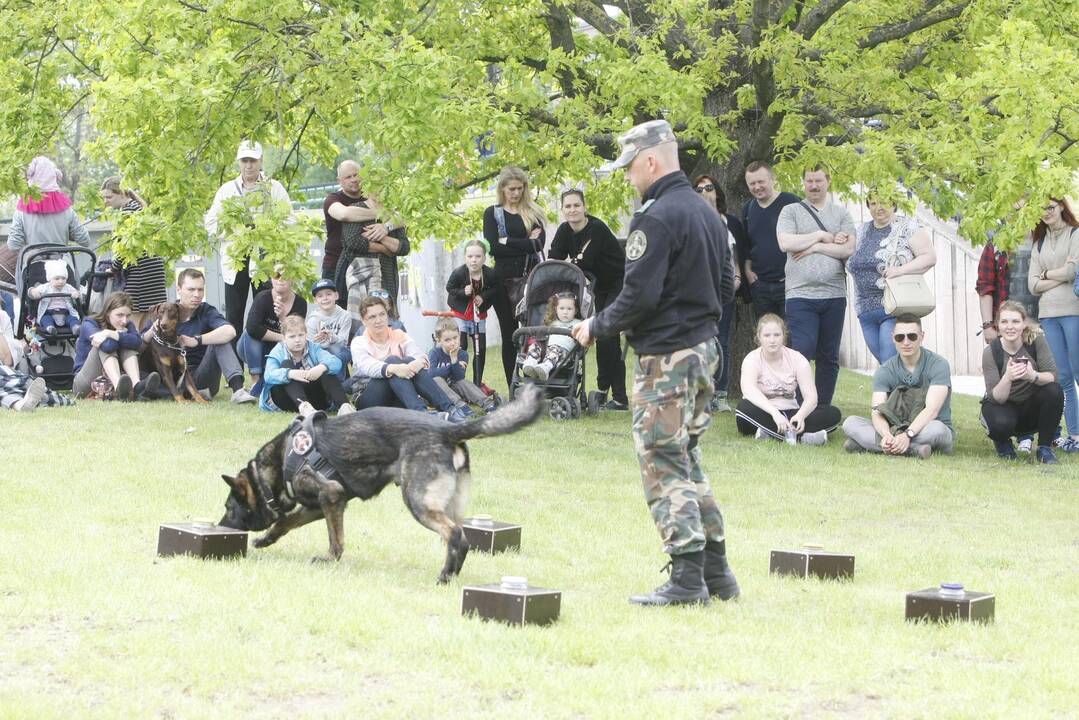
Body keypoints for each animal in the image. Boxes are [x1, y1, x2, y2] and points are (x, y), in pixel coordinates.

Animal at [217, 386, 543, 582]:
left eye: (229, 507)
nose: (219, 528)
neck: (278, 463)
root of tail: (447, 430)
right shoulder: (321, 504)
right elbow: (286, 522)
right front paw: (266, 539)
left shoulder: (330, 496)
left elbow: (335, 541)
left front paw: (329, 560)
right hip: (449, 505)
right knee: (461, 537)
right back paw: (451, 575)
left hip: (418, 502)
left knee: (454, 535)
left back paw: (443, 576)